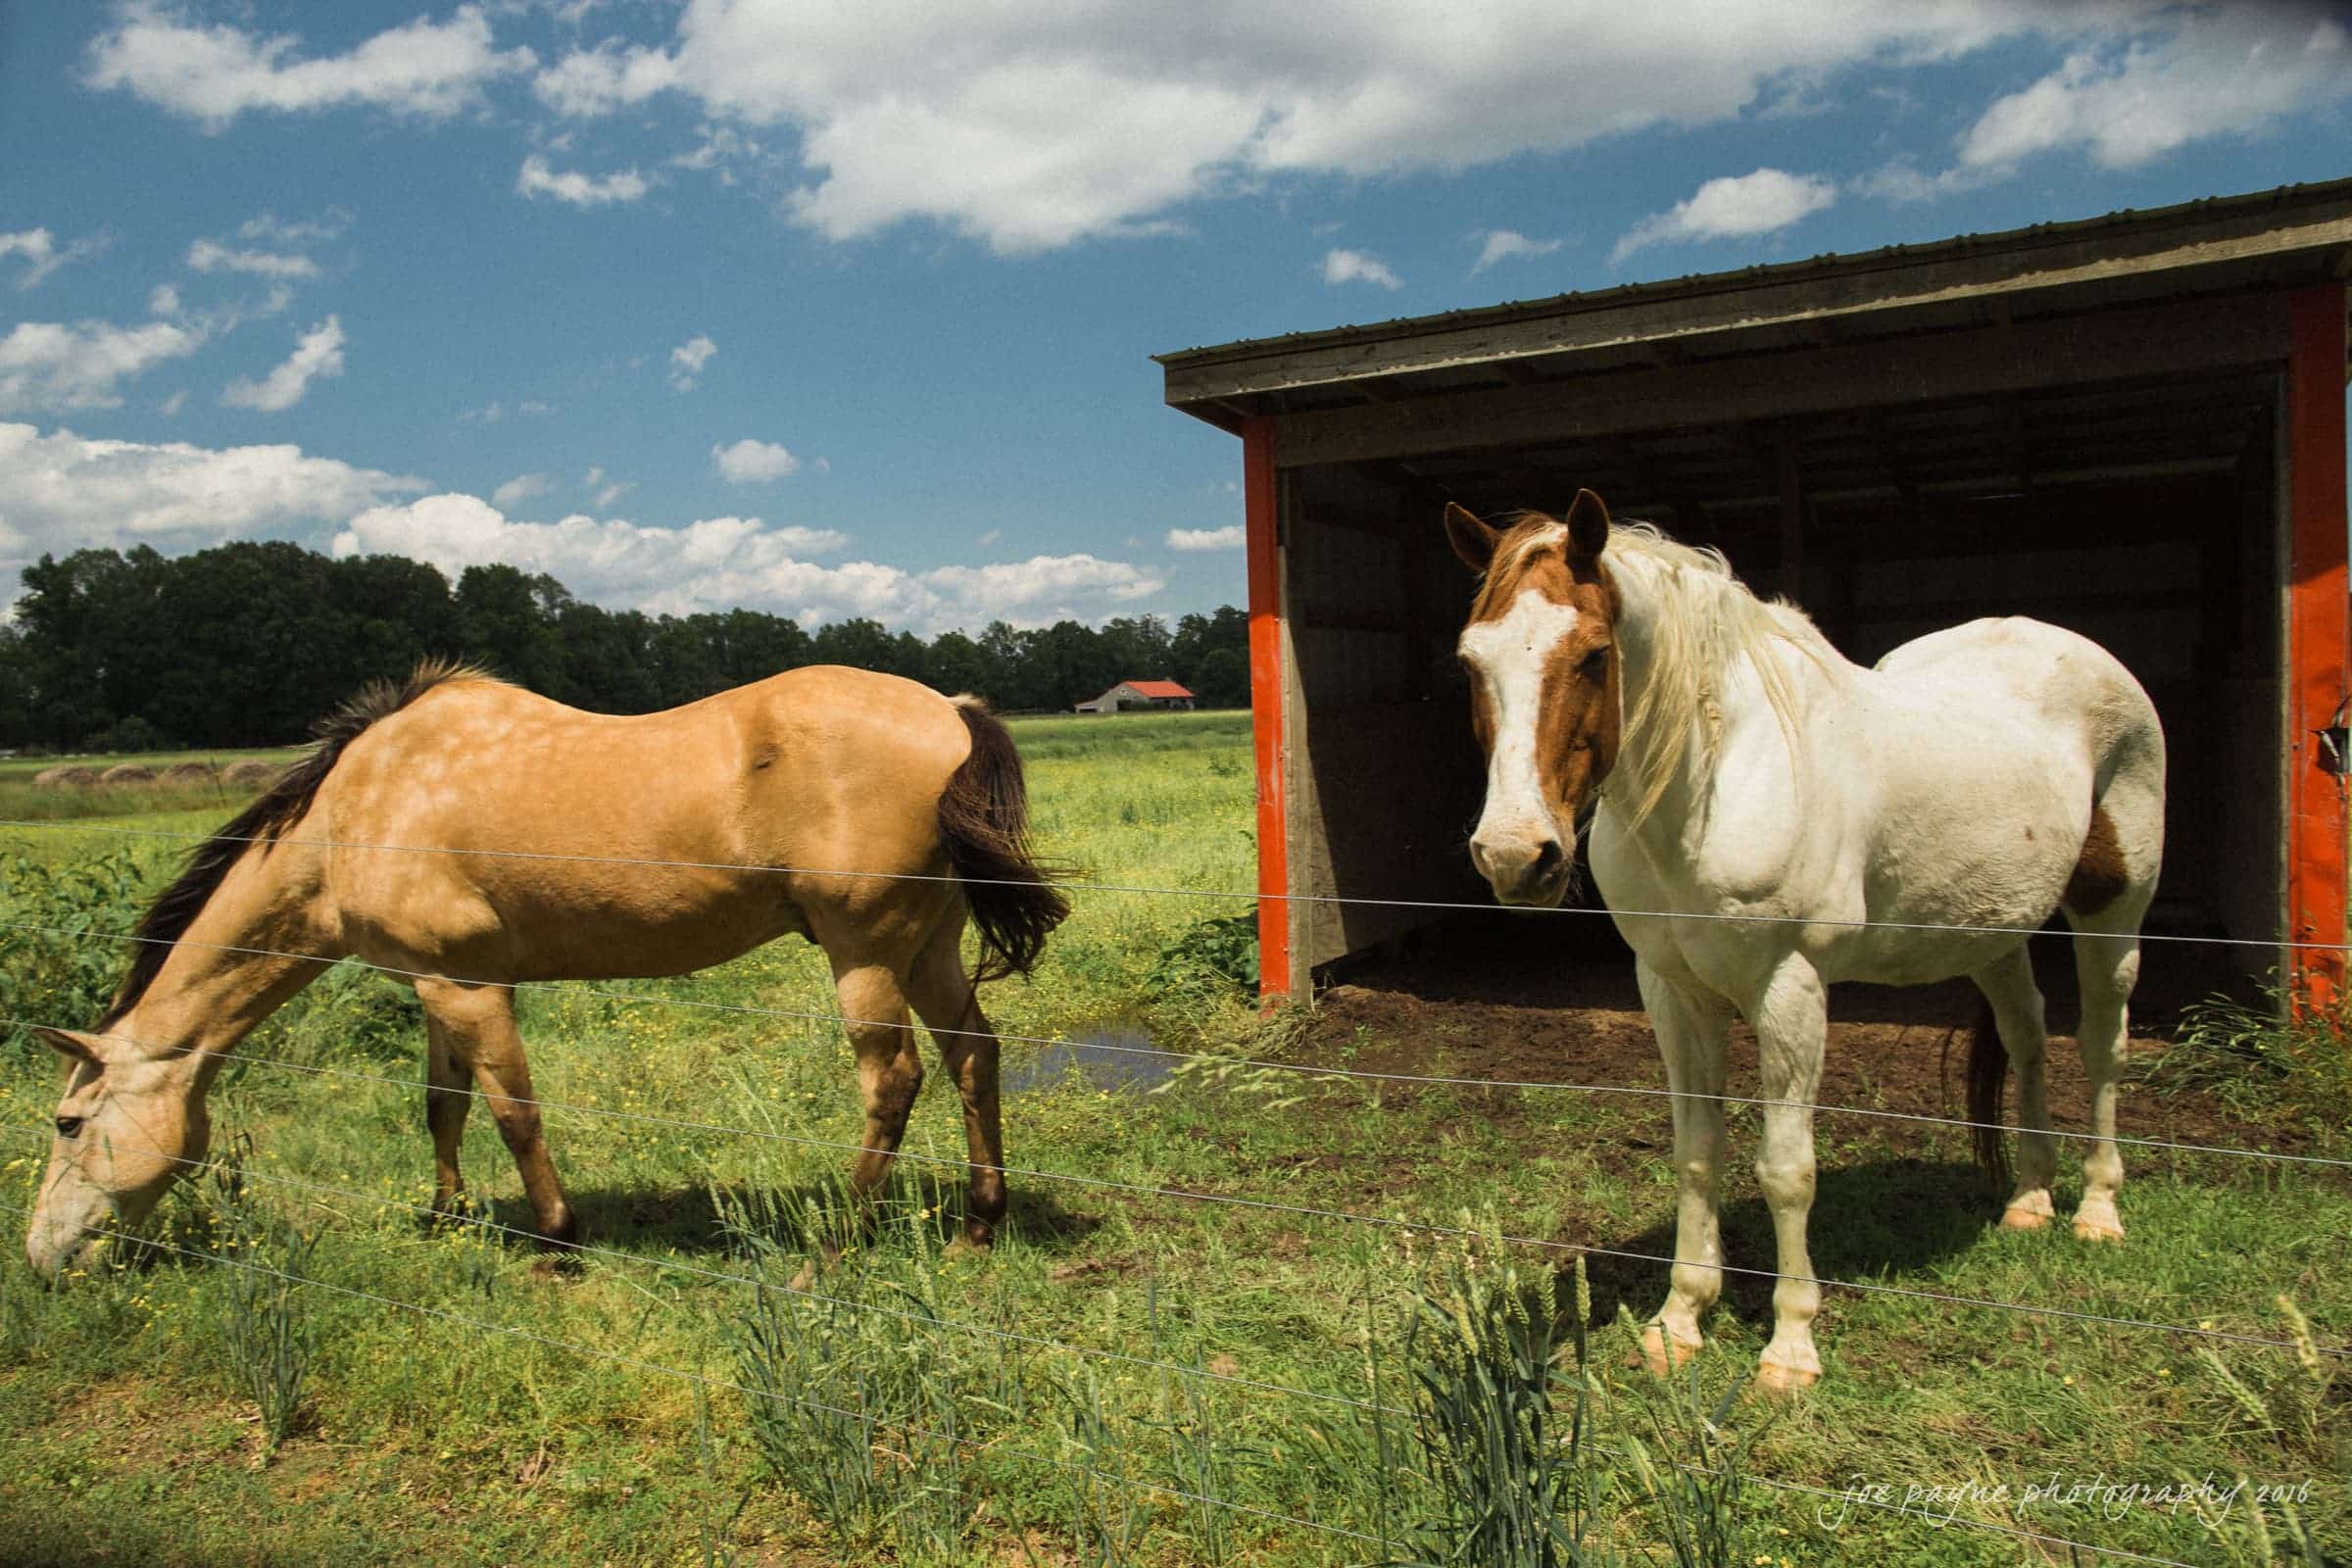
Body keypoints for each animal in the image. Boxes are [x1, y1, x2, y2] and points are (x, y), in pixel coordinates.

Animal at [27, 659, 1070, 1279]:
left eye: (69, 1123)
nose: (42, 1255)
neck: (356, 811)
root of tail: (952, 712)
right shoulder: (435, 987)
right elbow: (443, 1106)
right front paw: (447, 1216)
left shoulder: (470, 989)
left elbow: (514, 1113)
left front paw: (556, 1243)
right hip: (927, 946)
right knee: (974, 1055)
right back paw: (980, 1223)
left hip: (864, 952)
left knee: (893, 1081)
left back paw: (839, 1243)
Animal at [1442, 490, 2164, 1393]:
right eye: (1472, 662)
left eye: (1594, 655)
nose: (1515, 856)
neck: (1713, 783)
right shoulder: (1673, 992)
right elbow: (1698, 1152)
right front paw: (1679, 1323)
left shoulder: (1789, 989)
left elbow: (1787, 1170)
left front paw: (1789, 1348)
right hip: (1992, 926)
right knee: (2028, 1033)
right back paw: (2030, 1200)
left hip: (2114, 909)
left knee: (2102, 1045)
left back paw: (2098, 1209)